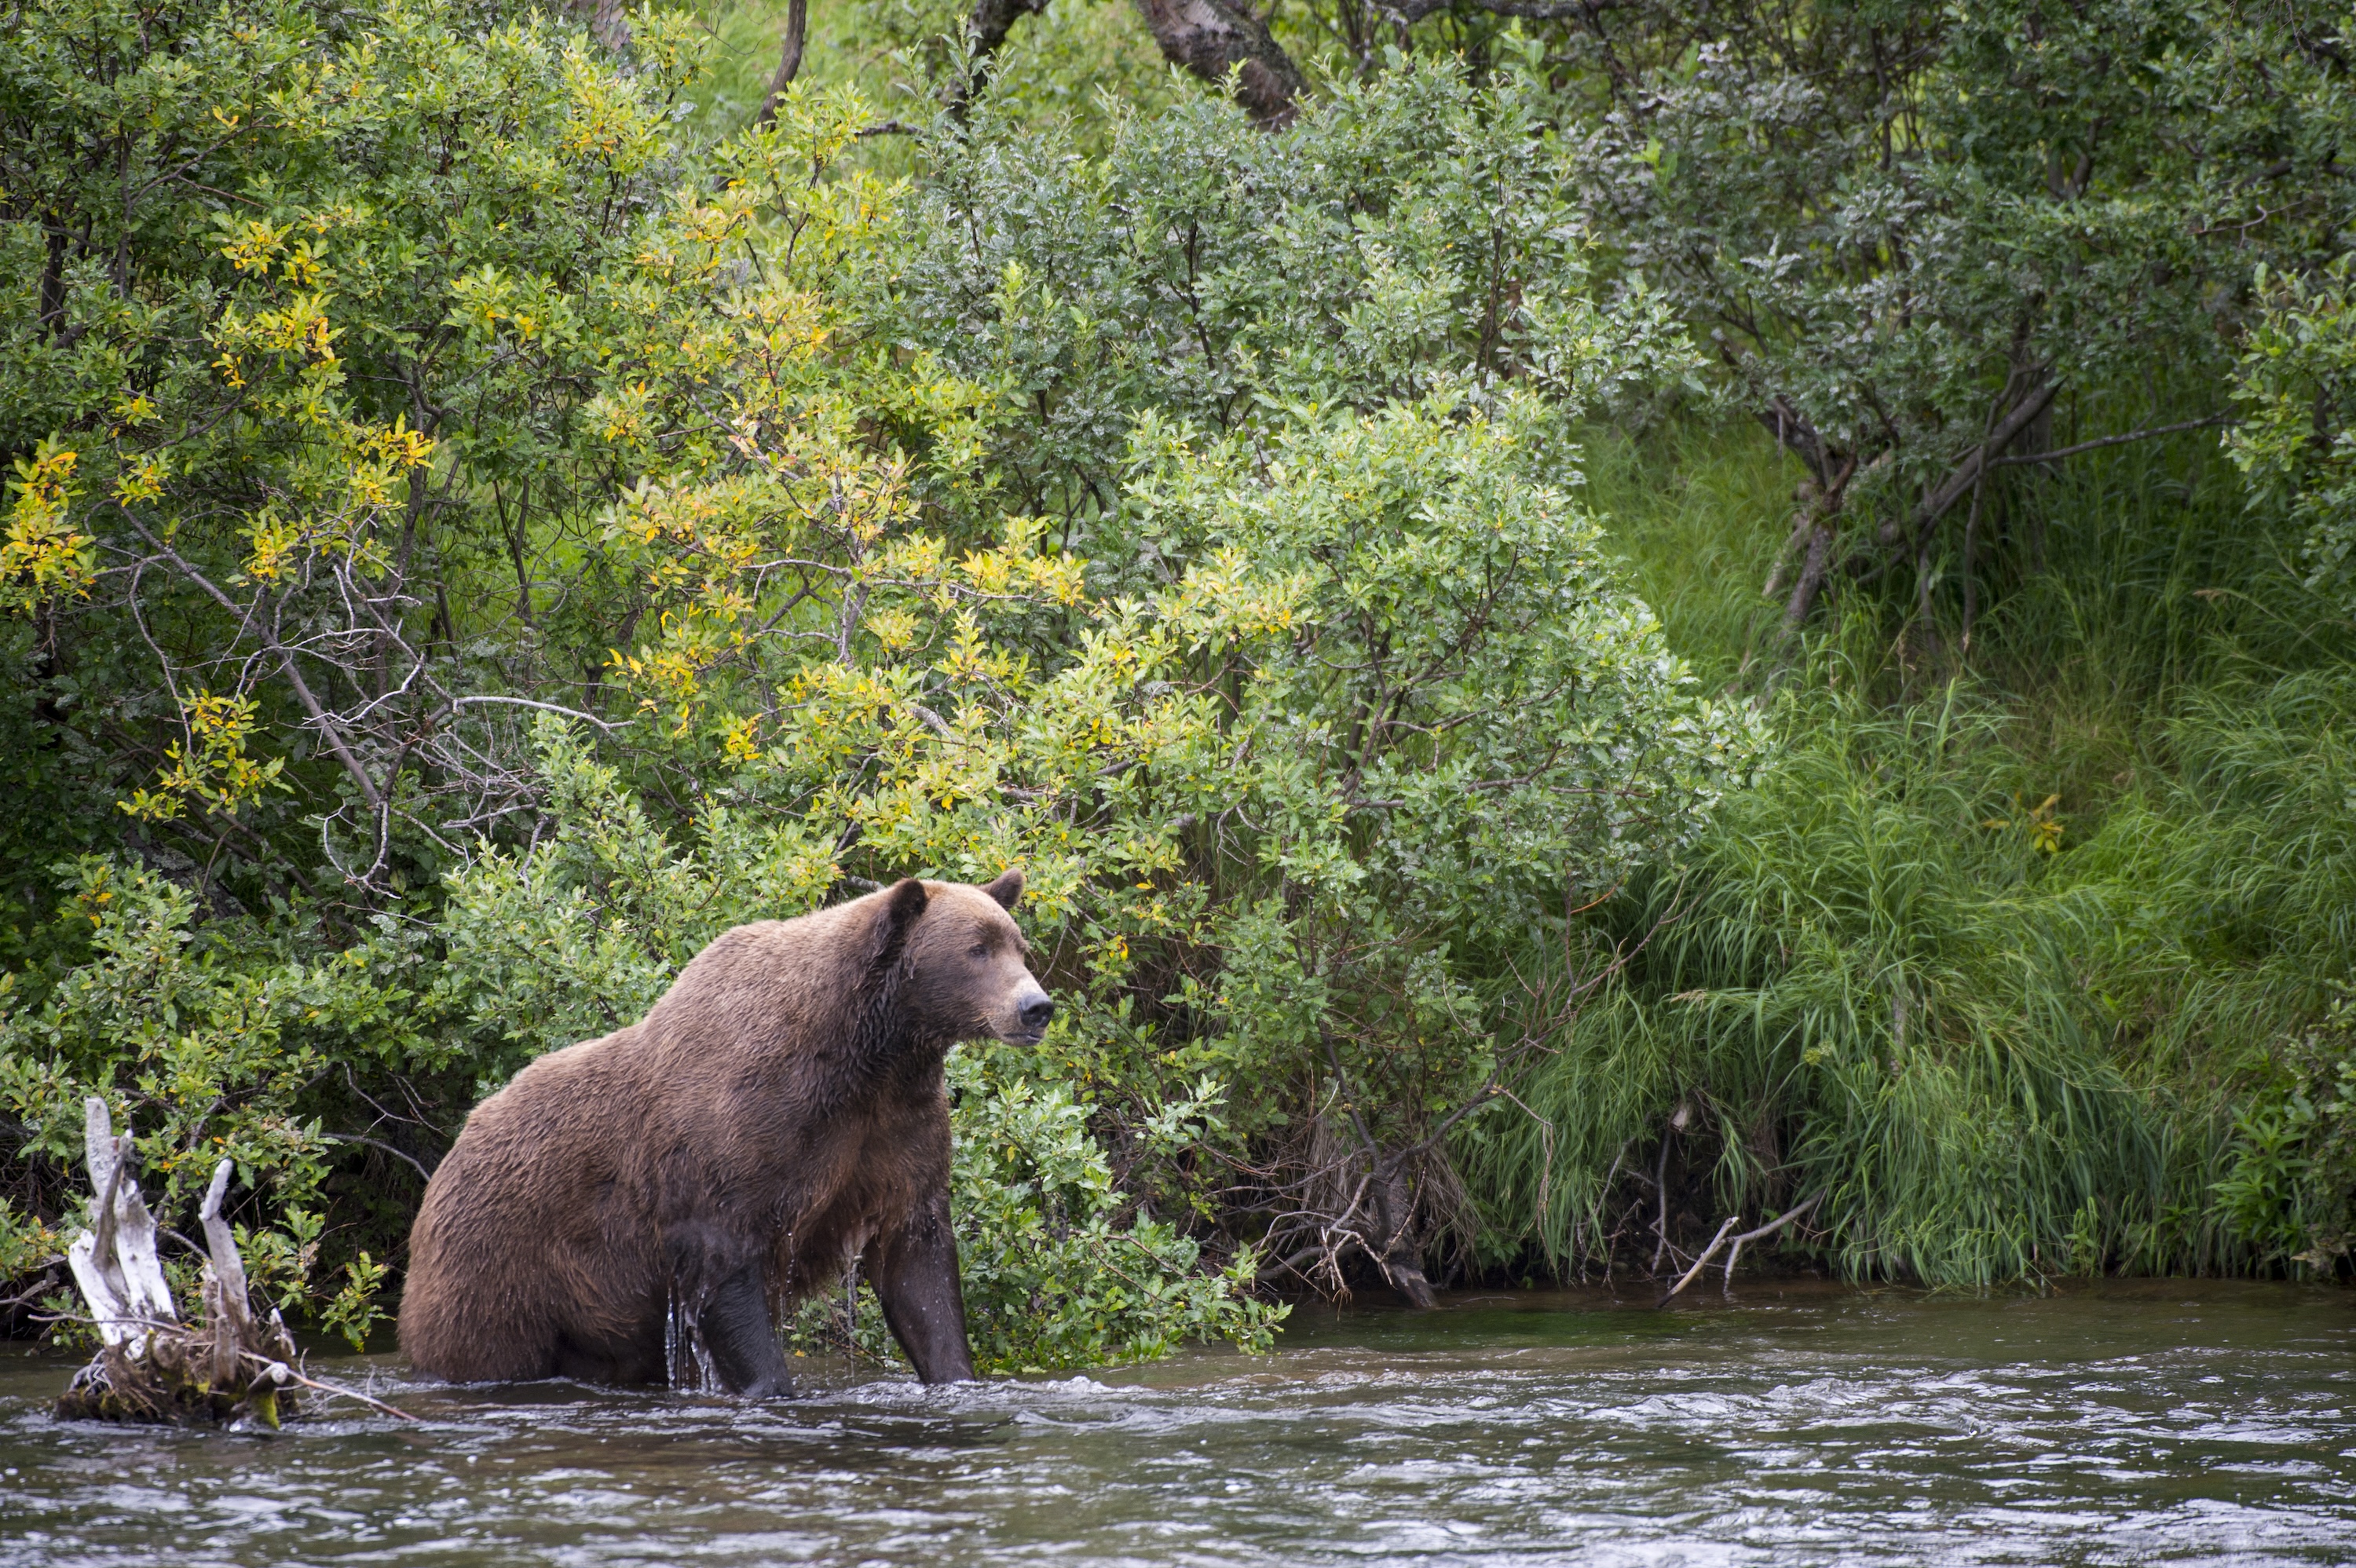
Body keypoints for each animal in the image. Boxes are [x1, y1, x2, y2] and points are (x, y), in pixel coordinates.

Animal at [398, 866, 1051, 1394]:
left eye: (1020, 947)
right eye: (976, 949)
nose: (1036, 1006)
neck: (866, 1055)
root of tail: (447, 1159)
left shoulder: (896, 1130)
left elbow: (918, 1260)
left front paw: (955, 1373)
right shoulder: (739, 1134)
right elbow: (725, 1260)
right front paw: (772, 1384)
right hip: (501, 1266)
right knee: (482, 1344)